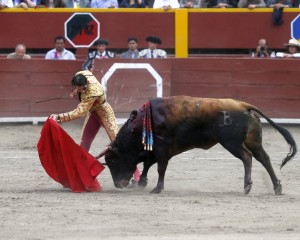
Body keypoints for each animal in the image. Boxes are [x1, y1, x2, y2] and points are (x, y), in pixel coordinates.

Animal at [96, 96, 298, 195]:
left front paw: (157, 189)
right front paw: (142, 183)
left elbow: (160, 168)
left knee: (247, 157)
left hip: (231, 143)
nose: (118, 184)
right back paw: (277, 187)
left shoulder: (162, 149)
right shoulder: (155, 150)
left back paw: (247, 186)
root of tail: (243, 105)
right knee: (265, 158)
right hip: (254, 141)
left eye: (112, 162)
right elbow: (147, 164)